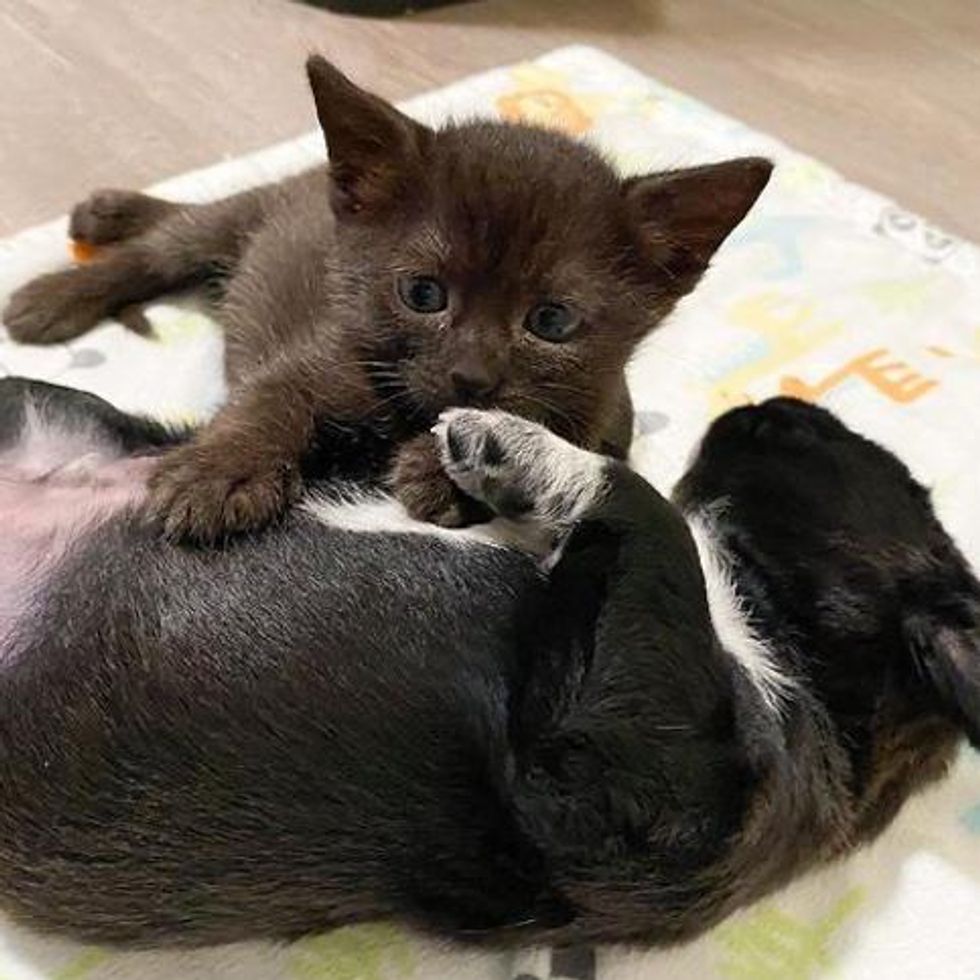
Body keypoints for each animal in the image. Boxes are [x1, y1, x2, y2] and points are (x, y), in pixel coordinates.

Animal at [3, 57, 772, 540]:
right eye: (422, 293)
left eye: (551, 321)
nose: (472, 376)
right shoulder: (315, 357)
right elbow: (267, 400)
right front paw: (218, 474)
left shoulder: (608, 412)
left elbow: (560, 430)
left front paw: (451, 466)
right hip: (231, 222)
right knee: (168, 243)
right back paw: (67, 277)